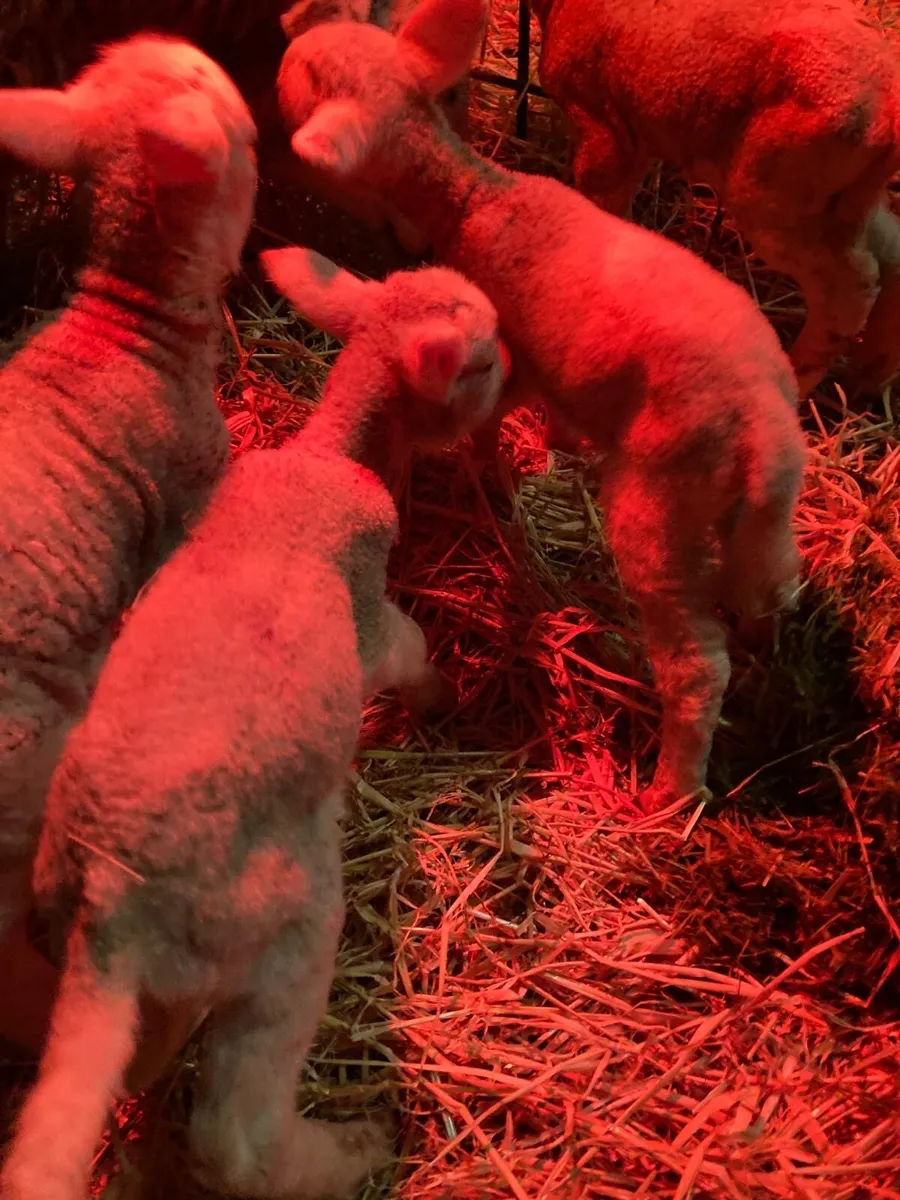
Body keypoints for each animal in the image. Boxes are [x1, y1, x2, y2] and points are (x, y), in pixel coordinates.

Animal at [0, 247, 507, 1200]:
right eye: (486, 359)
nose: (521, 373)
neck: (331, 449)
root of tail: (114, 914)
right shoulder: (374, 617)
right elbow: (413, 652)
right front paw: (445, 703)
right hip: (287, 936)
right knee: (236, 1135)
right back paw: (357, 1145)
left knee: (140, 1063)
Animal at [275, 0, 809, 815]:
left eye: (305, 72)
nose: (281, 33)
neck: (478, 195)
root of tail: (765, 438)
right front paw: (557, 448)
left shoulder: (510, 352)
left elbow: (491, 421)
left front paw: (496, 476)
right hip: (755, 516)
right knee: (774, 581)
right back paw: (763, 648)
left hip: (660, 507)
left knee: (695, 666)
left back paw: (671, 791)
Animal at [528, 0, 900, 399]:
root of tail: (889, 106)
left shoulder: (604, 126)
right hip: (843, 205)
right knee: (890, 256)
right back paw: (870, 376)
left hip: (780, 202)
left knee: (849, 291)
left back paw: (798, 380)